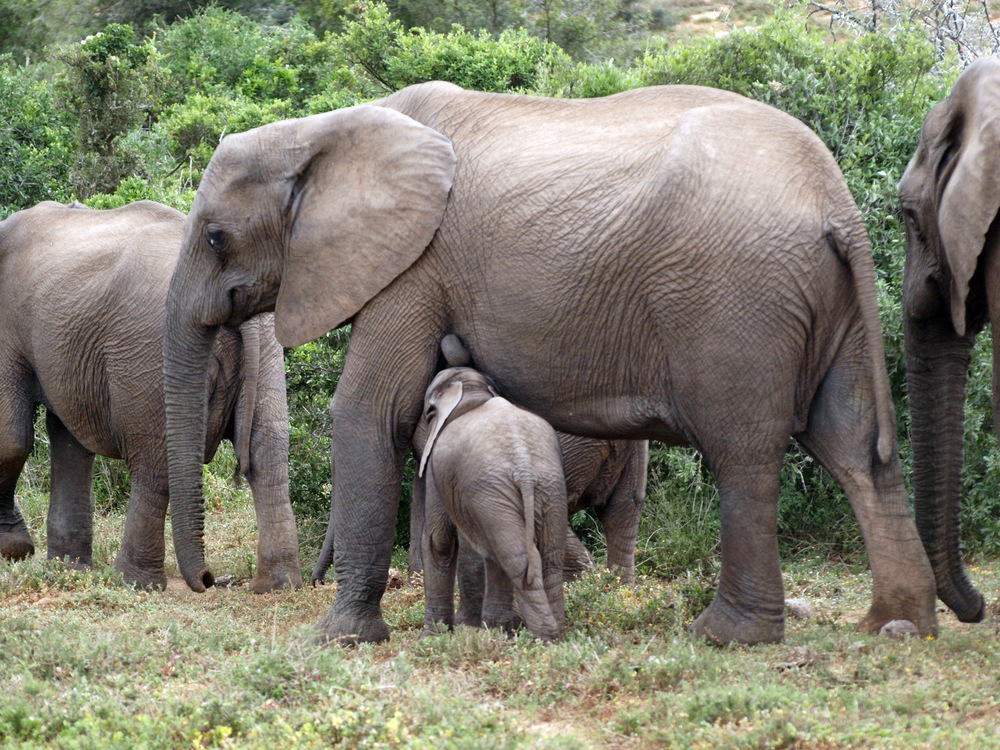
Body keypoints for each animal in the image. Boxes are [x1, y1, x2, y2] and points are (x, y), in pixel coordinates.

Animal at [0, 200, 298, 592]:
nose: (210, 579)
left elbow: (11, 439)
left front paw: (15, 551)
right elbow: (67, 440)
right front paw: (65, 567)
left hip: (145, 352)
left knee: (153, 462)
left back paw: (132, 581)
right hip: (264, 348)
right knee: (269, 452)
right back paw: (277, 584)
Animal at [418, 368, 568, 644]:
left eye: (428, 414)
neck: (473, 394)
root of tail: (524, 467)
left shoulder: (436, 466)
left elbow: (439, 540)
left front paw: (429, 639)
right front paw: (496, 631)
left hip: (494, 490)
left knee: (519, 562)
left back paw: (543, 640)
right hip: (545, 486)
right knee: (547, 559)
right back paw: (556, 639)